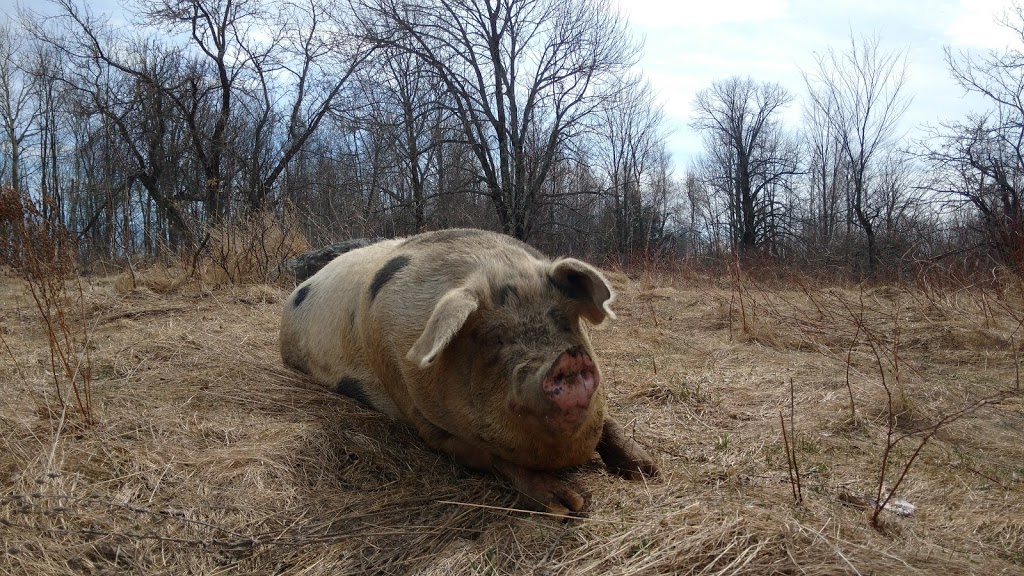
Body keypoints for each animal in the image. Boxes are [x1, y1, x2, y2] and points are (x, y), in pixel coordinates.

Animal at [280, 226, 655, 512]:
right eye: (494, 337)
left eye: (564, 323)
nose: (569, 359)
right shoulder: (420, 417)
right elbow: (495, 458)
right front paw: (569, 506)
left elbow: (609, 423)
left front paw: (649, 469)